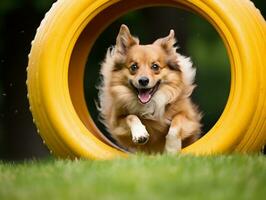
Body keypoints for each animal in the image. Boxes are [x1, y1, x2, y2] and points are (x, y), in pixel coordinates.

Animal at [97, 24, 202, 153]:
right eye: (134, 67)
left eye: (155, 66)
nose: (143, 81)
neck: (151, 103)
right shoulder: (117, 123)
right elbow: (131, 117)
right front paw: (140, 133)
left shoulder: (189, 119)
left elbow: (176, 123)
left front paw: (172, 149)